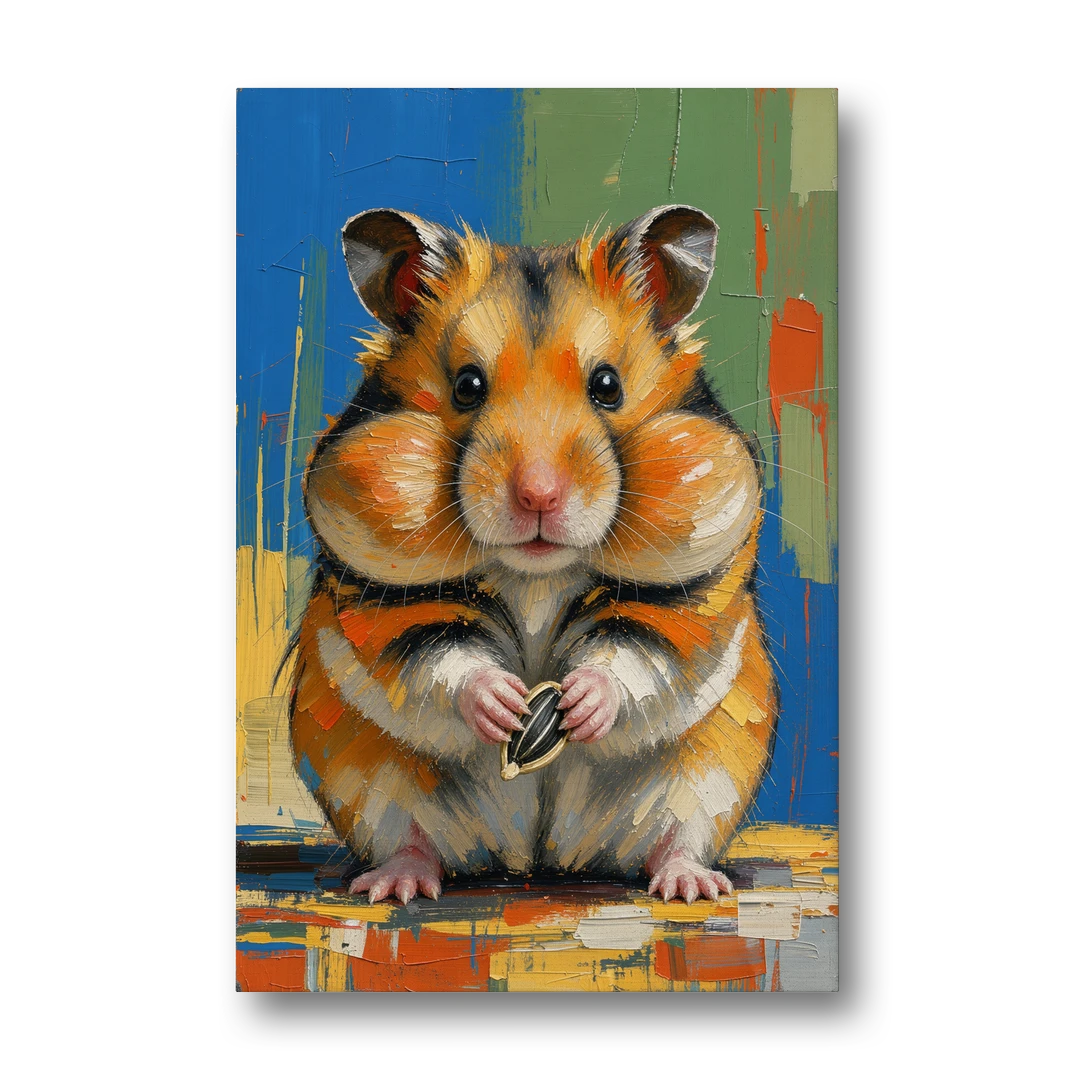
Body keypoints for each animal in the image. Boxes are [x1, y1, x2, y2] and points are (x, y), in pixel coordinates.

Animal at [289, 204, 777, 905]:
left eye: (607, 386)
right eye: (467, 386)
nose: (538, 496)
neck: (537, 575)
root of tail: (539, 858)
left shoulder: (684, 596)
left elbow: (630, 655)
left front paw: (574, 703)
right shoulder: (387, 601)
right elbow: (444, 661)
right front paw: (508, 707)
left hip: (710, 776)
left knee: (674, 839)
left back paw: (691, 885)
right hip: (370, 784)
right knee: (411, 841)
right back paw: (395, 886)